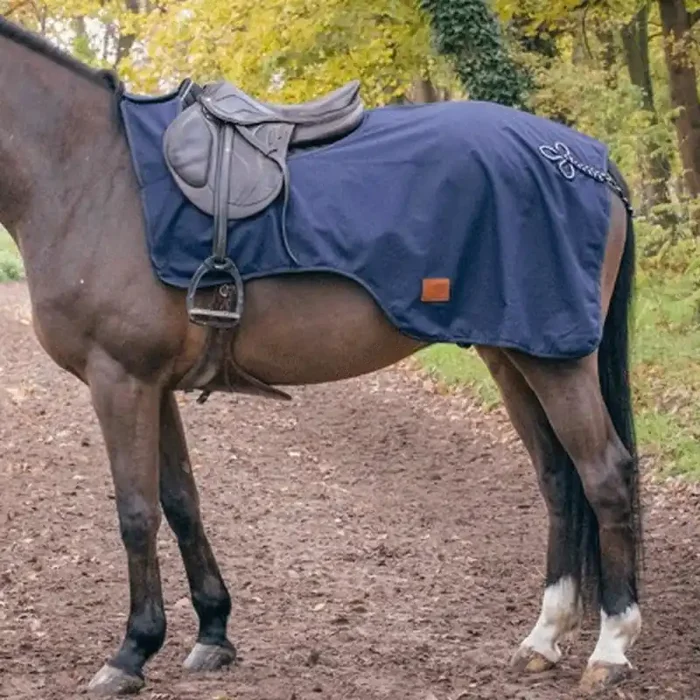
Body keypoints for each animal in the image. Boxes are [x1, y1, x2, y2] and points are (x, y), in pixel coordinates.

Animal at [0, 15, 642, 697]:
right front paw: (212, 633)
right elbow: (180, 503)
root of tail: (591, 161)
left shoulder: (119, 379)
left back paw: (610, 646)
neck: (87, 173)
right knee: (558, 478)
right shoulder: (154, 383)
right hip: (513, 355)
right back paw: (544, 638)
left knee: (605, 476)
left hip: (558, 361)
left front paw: (131, 651)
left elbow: (136, 512)